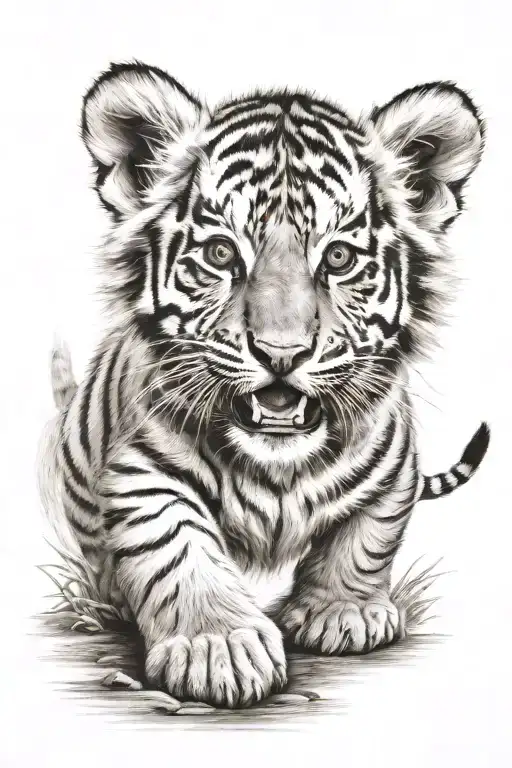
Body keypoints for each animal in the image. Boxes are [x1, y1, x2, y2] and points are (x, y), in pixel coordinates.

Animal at [39, 62, 490, 709]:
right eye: (221, 252)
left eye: (339, 258)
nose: (282, 353)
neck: (278, 467)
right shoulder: (141, 471)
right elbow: (174, 548)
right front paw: (219, 649)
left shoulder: (395, 470)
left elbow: (368, 538)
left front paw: (343, 613)